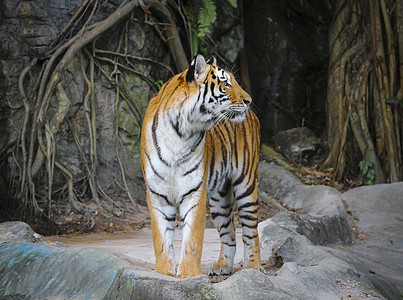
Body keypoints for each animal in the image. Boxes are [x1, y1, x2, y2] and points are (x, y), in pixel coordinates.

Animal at [140, 54, 264, 278]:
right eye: (226, 83)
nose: (249, 100)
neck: (180, 132)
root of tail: (252, 116)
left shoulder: (194, 192)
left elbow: (193, 239)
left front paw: (188, 275)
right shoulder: (157, 194)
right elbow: (161, 240)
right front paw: (164, 274)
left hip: (246, 184)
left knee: (251, 231)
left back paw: (253, 267)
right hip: (219, 198)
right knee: (229, 233)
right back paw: (222, 266)